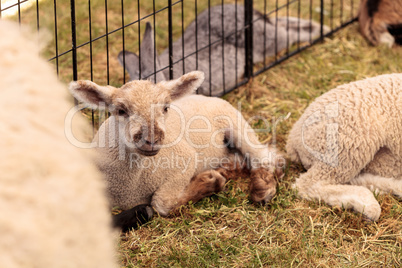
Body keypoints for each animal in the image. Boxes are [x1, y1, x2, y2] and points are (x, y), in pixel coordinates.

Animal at [69, 70, 284, 216]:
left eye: (166, 107)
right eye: (121, 111)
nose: (152, 140)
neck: (132, 184)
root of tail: (201, 95)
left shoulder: (184, 160)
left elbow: (162, 203)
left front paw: (209, 182)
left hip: (235, 122)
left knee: (265, 157)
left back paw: (262, 188)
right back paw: (230, 168)